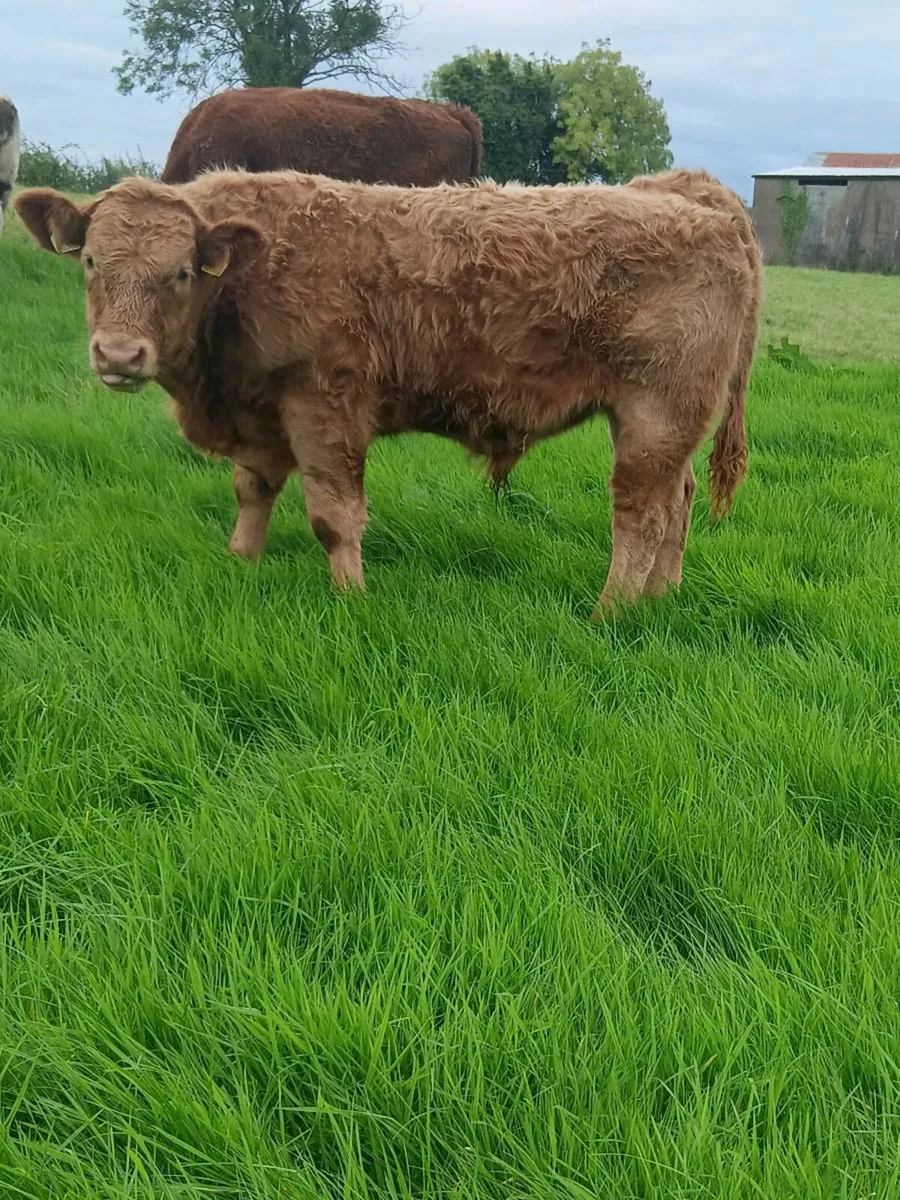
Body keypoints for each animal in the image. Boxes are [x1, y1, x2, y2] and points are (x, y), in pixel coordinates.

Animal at [14, 168, 759, 618]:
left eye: (180, 273)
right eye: (90, 262)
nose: (118, 354)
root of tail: (703, 205)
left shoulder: (324, 404)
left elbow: (332, 516)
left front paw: (351, 597)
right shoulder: (262, 413)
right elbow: (253, 490)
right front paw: (240, 562)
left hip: (656, 413)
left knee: (642, 515)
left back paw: (612, 611)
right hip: (665, 423)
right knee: (679, 501)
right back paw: (661, 597)